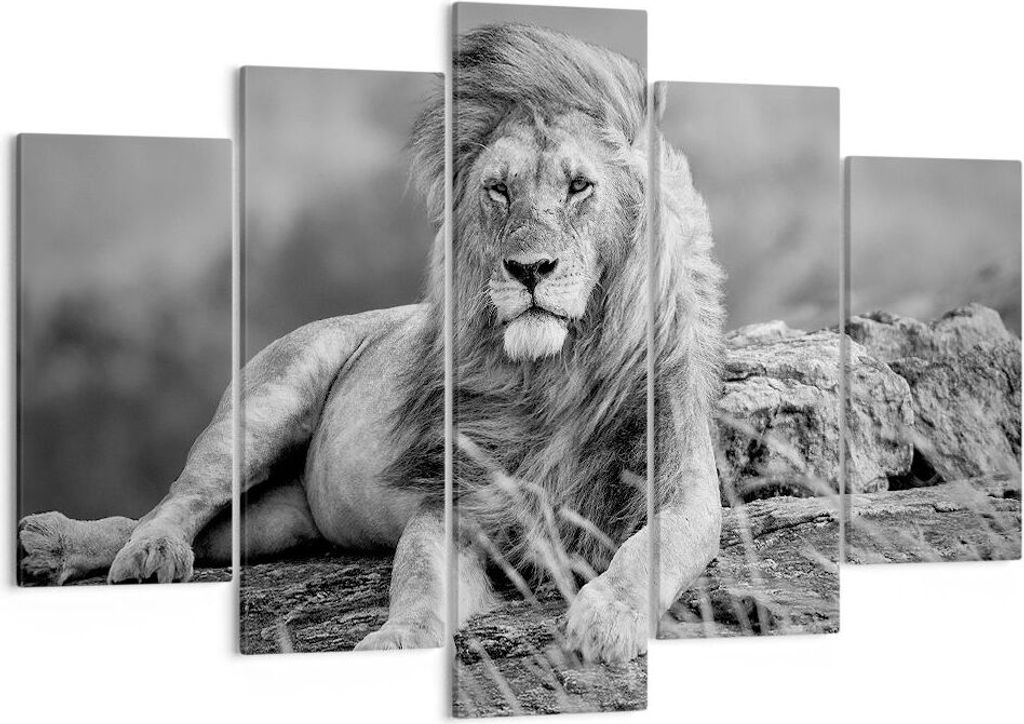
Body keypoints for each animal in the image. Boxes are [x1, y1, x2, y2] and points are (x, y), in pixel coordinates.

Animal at [18, 24, 724, 662]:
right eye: (499, 189)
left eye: (579, 186)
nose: (529, 270)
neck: (557, 373)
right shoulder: (456, 500)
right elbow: (417, 576)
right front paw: (399, 639)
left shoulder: (685, 487)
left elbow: (654, 546)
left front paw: (606, 618)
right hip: (266, 403)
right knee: (174, 503)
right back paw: (126, 550)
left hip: (277, 521)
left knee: (182, 525)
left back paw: (56, 546)